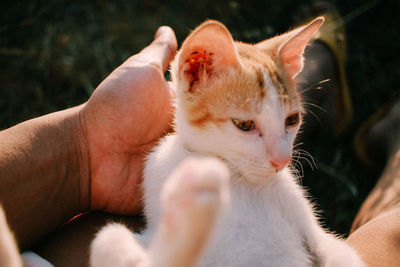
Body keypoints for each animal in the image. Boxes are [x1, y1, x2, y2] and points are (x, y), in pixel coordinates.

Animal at [90, 18, 366, 267]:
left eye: (292, 120)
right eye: (244, 125)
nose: (282, 161)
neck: (238, 180)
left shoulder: (320, 238)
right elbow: (114, 240)